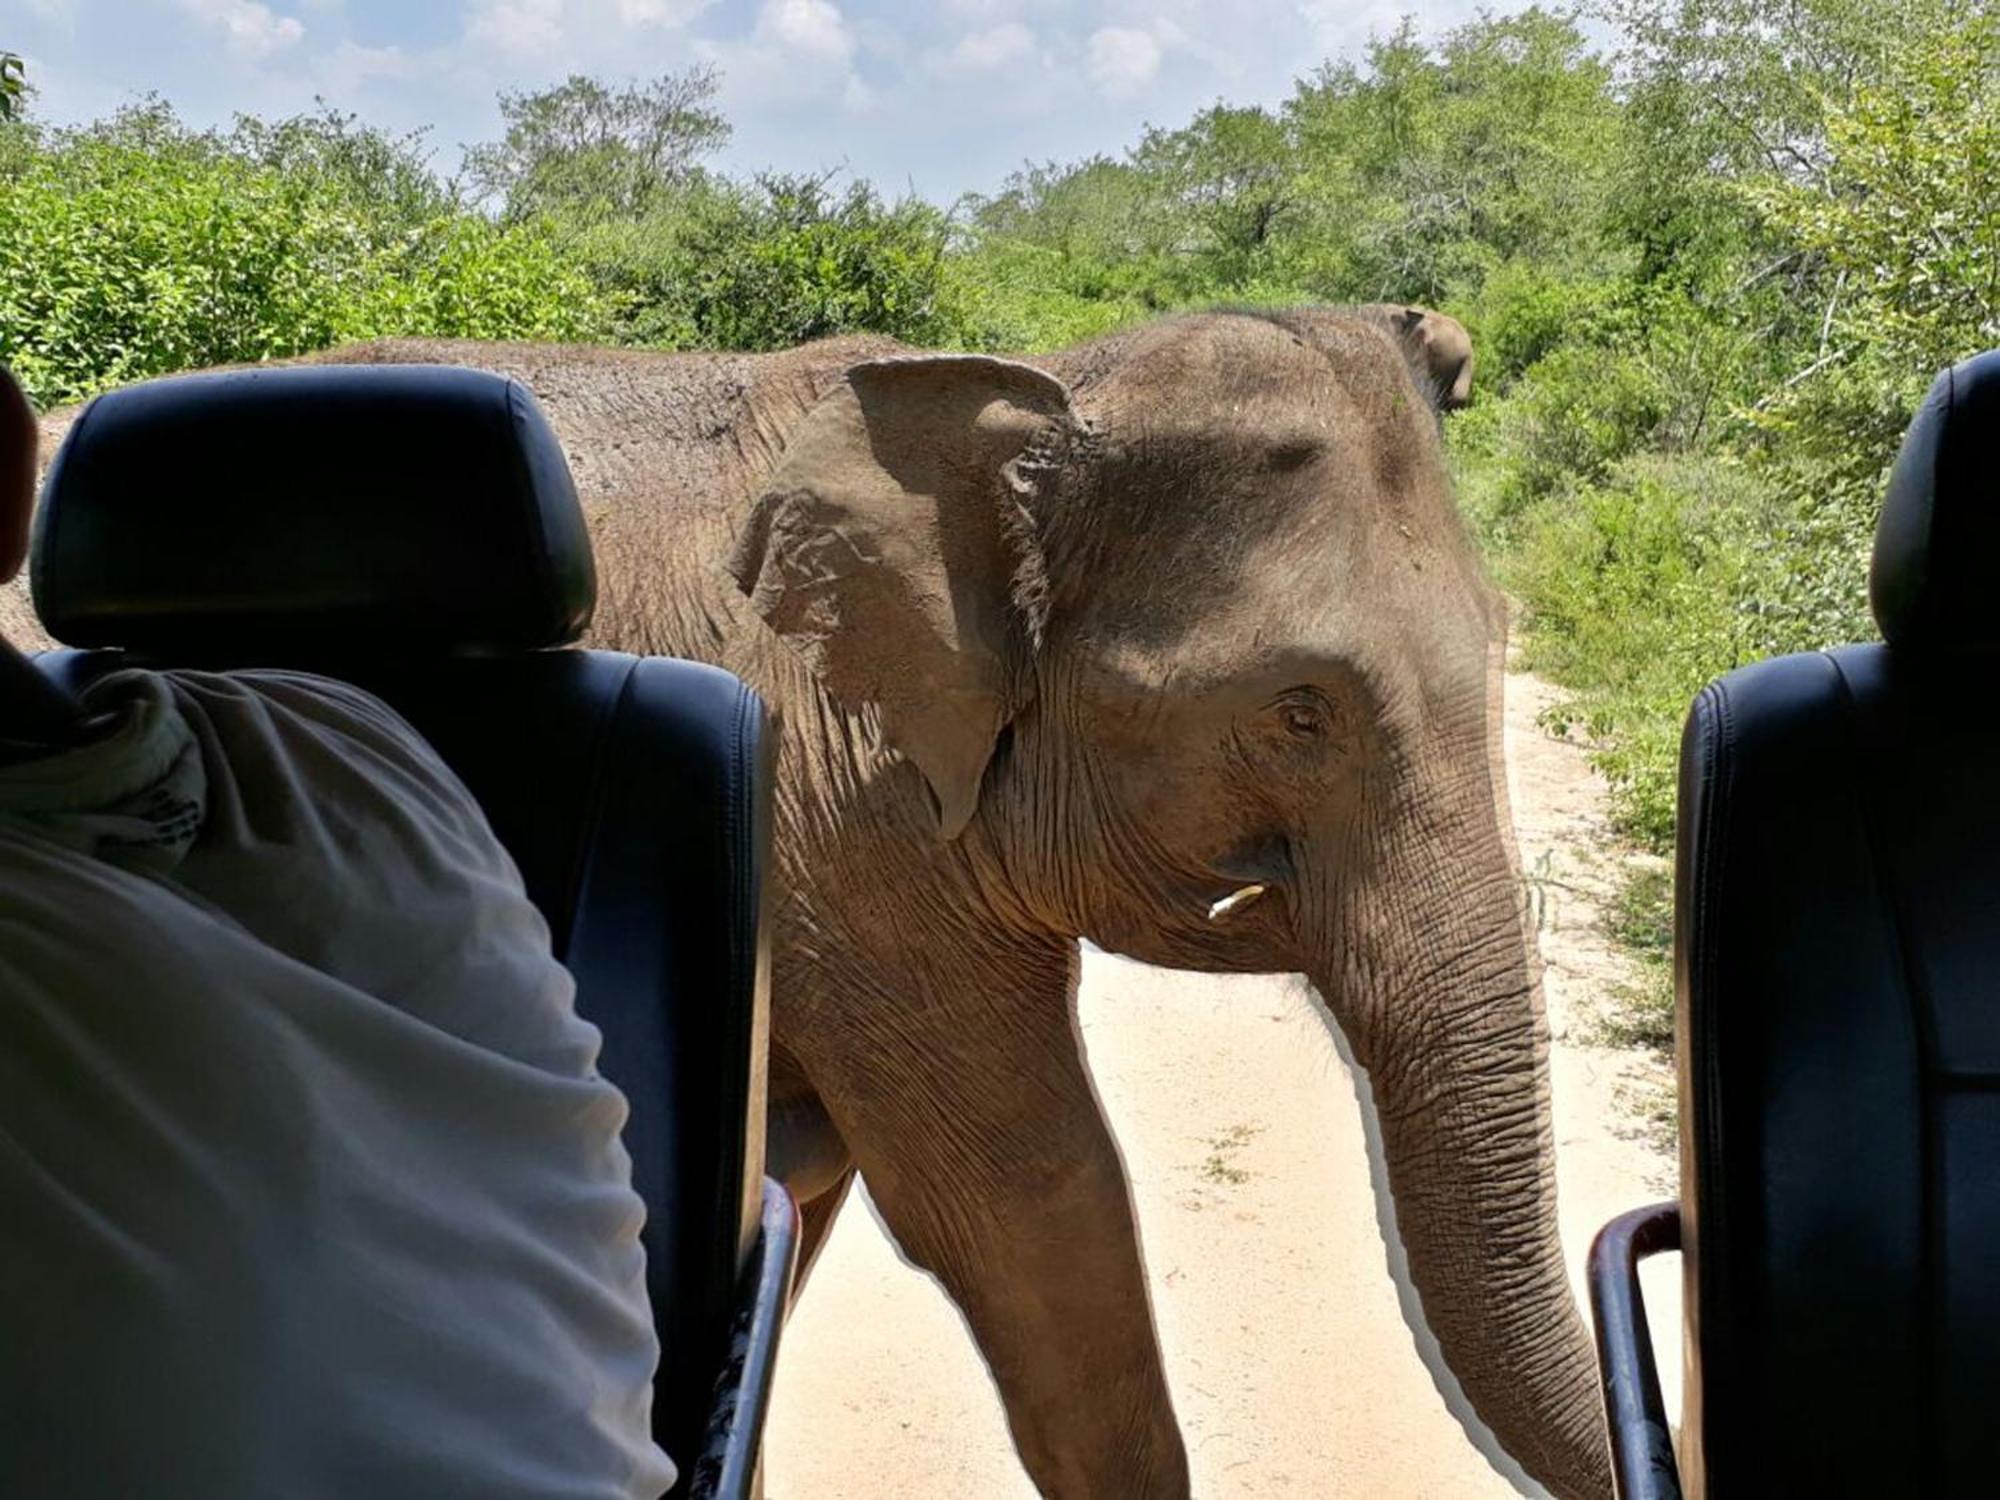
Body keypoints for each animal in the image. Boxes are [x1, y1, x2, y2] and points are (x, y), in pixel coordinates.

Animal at [19, 308, 1608, 1500]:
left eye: (1502, 647)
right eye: (1297, 711)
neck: (1029, 393)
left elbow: (806, 1193)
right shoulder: (835, 815)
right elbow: (1026, 1199)